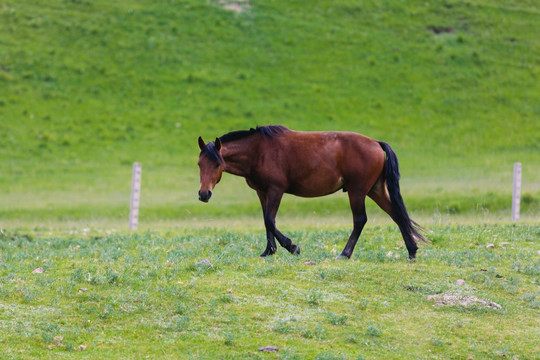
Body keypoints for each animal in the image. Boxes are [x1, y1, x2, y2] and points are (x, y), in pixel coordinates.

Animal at [198, 126, 426, 258]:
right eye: (199, 163)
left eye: (217, 164)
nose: (203, 194)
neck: (259, 151)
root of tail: (376, 143)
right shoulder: (262, 192)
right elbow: (266, 221)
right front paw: (268, 251)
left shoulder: (276, 190)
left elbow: (270, 221)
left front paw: (292, 246)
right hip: (375, 190)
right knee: (397, 215)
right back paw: (412, 250)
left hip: (357, 191)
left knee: (360, 220)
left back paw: (345, 253)